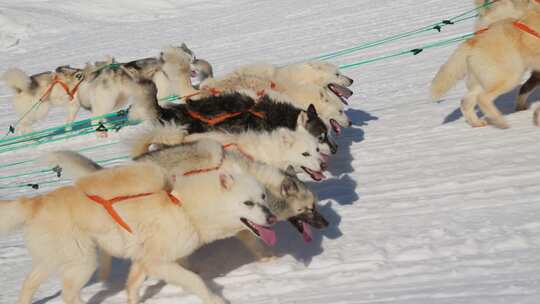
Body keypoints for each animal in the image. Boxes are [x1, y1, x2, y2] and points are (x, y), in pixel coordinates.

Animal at [1, 160, 274, 302]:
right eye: (248, 203)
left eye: (263, 197)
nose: (271, 217)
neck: (183, 206)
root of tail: (36, 202)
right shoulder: (157, 262)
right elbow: (195, 280)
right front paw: (215, 299)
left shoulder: (143, 260)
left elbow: (132, 286)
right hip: (83, 261)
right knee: (69, 292)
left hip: (53, 259)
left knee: (28, 283)